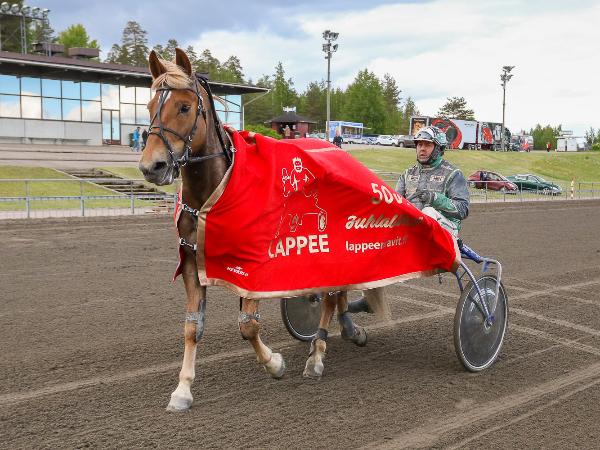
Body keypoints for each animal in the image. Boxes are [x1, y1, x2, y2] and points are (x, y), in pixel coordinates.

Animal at [139, 48, 387, 411]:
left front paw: (274, 363)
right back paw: (349, 330)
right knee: (336, 291)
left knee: (329, 294)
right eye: (149, 106)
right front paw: (182, 390)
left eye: (184, 107)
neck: (212, 198)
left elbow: (248, 325)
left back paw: (318, 355)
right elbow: (192, 327)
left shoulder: (253, 264)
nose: (151, 166)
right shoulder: (191, 262)